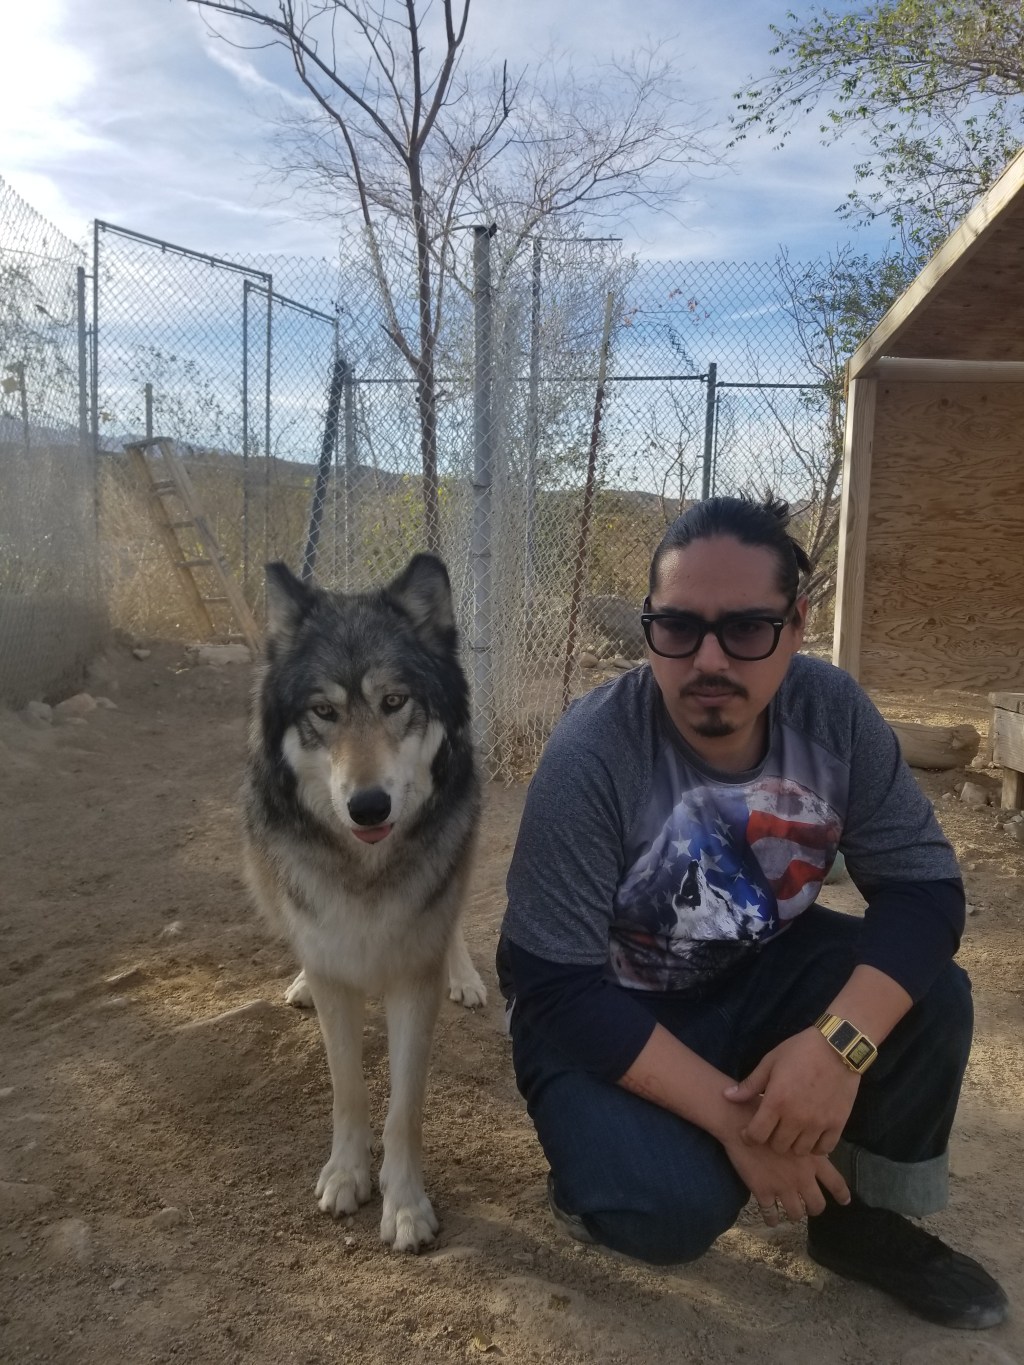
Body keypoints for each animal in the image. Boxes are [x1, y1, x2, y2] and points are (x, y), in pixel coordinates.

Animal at [243, 553, 486, 1253]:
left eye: (394, 702)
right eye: (323, 711)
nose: (369, 806)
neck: (365, 873)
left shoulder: (412, 981)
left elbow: (404, 1109)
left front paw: (404, 1206)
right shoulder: (336, 976)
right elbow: (348, 1090)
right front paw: (347, 1175)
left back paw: (466, 976)